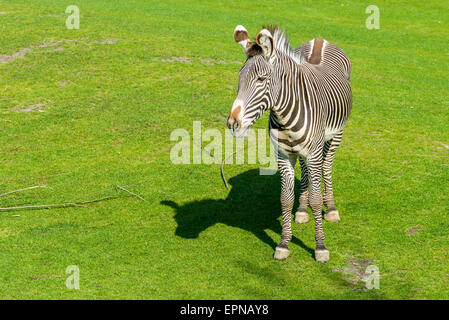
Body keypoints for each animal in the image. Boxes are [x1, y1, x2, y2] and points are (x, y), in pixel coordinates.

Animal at [228, 25, 350, 262]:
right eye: (239, 77)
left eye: (261, 79)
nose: (232, 124)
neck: (284, 112)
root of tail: (319, 40)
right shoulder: (283, 155)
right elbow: (285, 198)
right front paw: (284, 243)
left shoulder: (314, 152)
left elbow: (316, 199)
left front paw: (320, 247)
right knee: (306, 169)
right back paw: (302, 210)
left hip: (336, 135)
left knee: (327, 166)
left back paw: (330, 208)